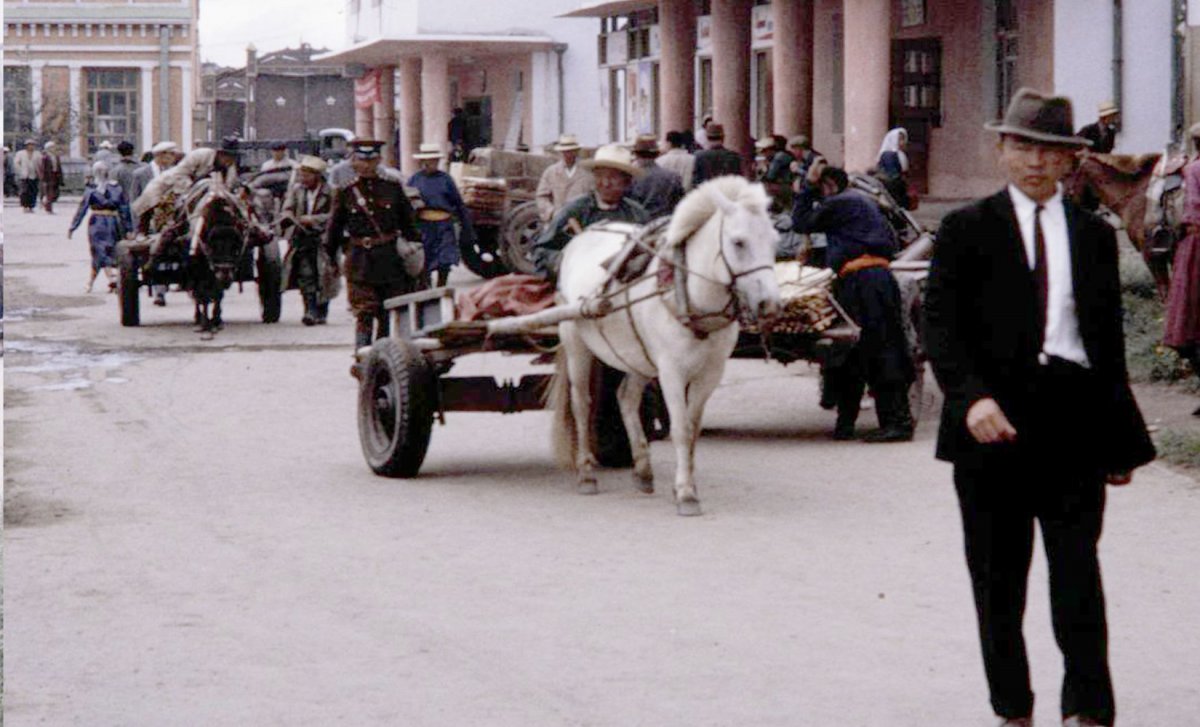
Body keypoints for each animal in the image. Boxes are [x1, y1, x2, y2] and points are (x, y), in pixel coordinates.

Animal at [549, 177, 782, 518]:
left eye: (774, 241)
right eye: (738, 242)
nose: (770, 305)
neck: (688, 294)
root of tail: (583, 235)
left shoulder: (711, 373)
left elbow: (693, 430)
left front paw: (684, 484)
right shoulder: (671, 371)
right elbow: (681, 429)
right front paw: (686, 494)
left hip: (638, 355)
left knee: (626, 399)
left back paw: (643, 471)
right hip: (576, 343)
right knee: (582, 405)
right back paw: (587, 474)